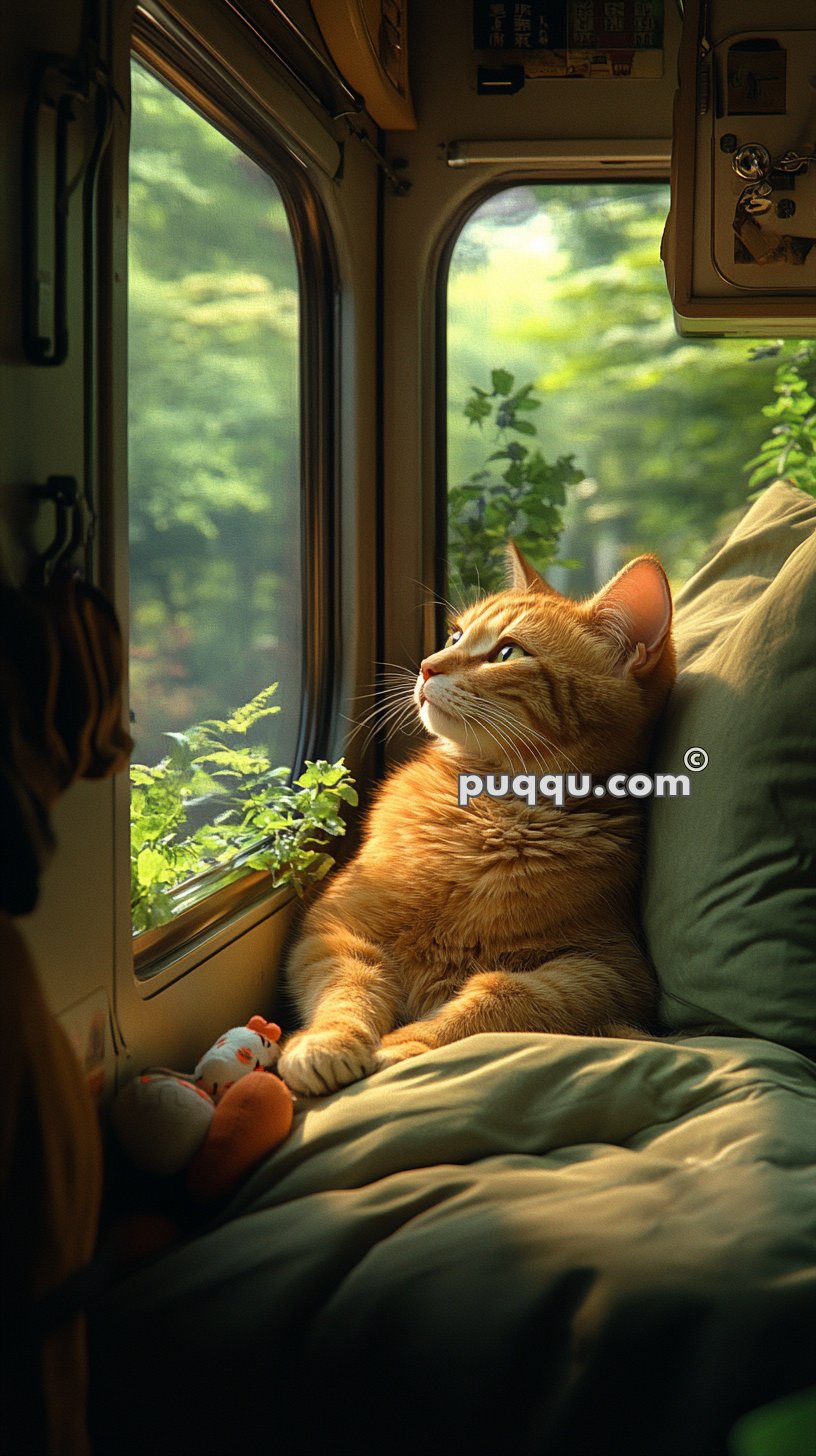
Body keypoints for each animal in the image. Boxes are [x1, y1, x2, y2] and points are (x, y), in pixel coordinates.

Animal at [279, 544, 676, 1094]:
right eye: (455, 636)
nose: (426, 667)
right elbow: (349, 986)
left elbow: (505, 995)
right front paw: (328, 1040)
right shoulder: (334, 931)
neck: (491, 817)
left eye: (508, 653)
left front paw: (408, 1041)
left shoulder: (613, 972)